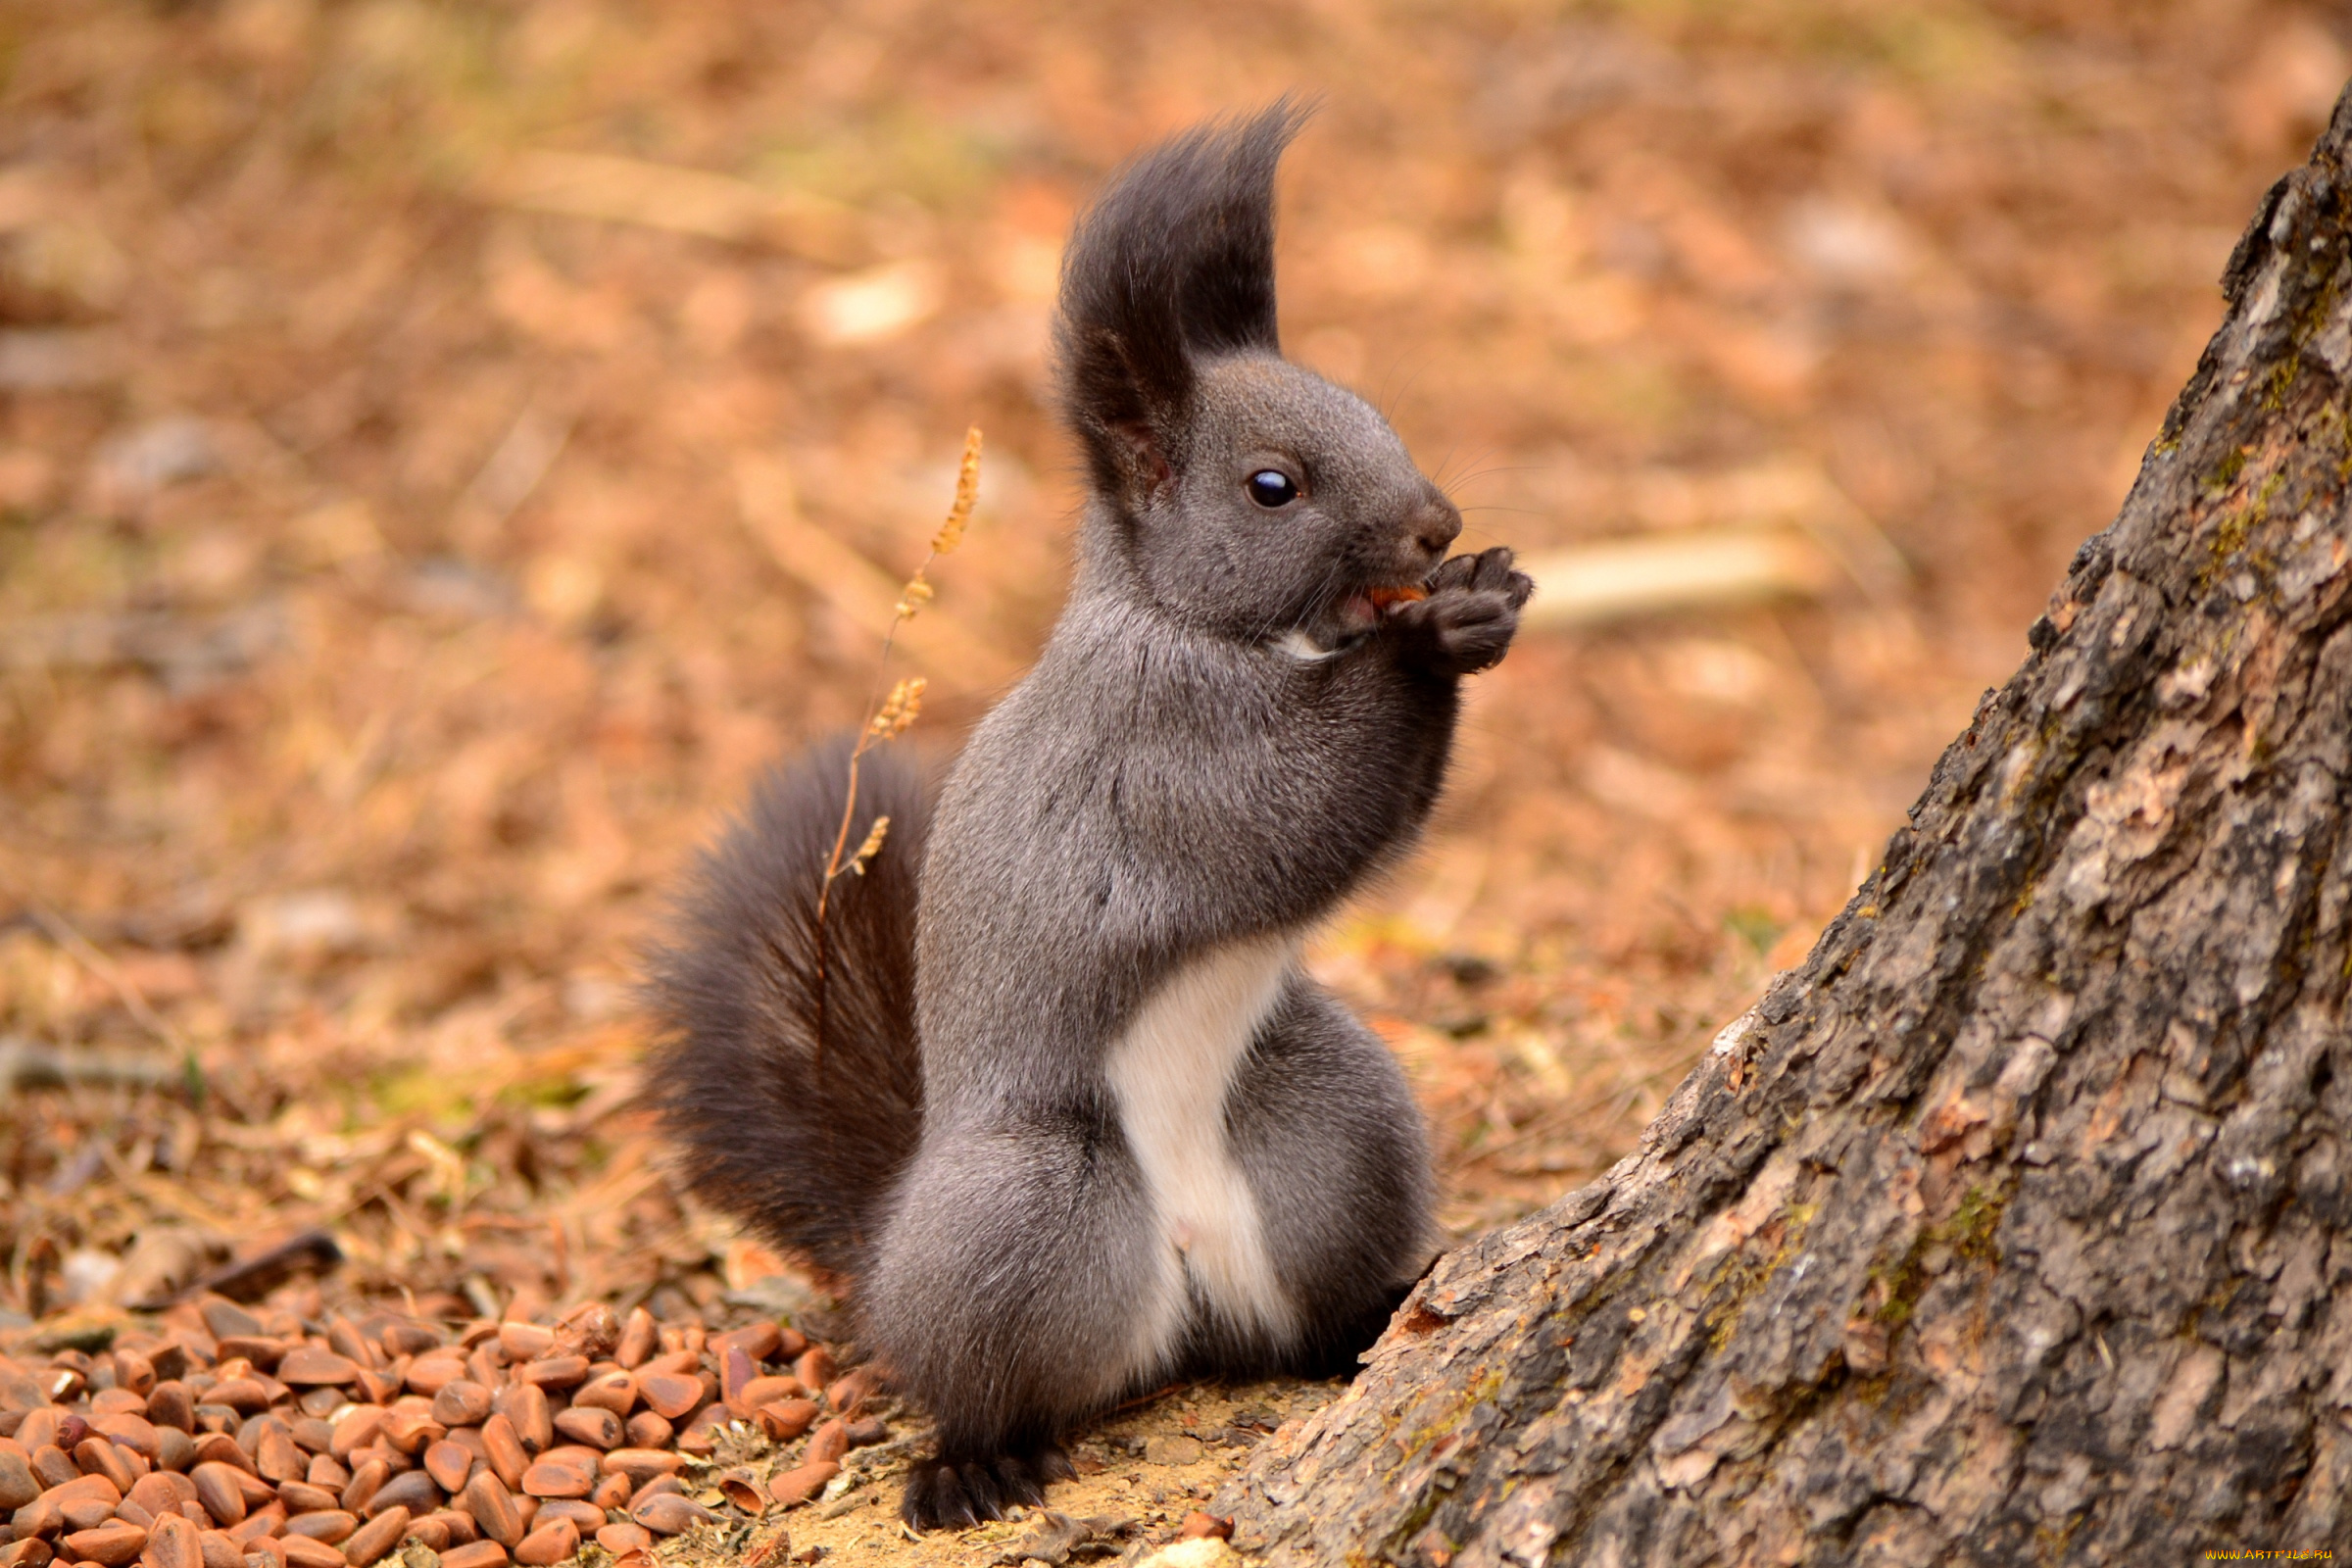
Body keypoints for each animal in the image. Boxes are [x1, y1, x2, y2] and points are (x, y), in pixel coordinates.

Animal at [644, 101, 1533, 1533]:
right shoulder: (1160, 759)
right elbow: (1297, 815)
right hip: (1034, 1206)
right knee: (983, 1376)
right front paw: (1436, 639)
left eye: (1375, 410)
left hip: (1337, 1123)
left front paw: (1486, 594)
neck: (1208, 627)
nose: (1436, 524)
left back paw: (1374, 1315)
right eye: (1272, 487)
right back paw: (974, 1460)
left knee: (1298, 1316)